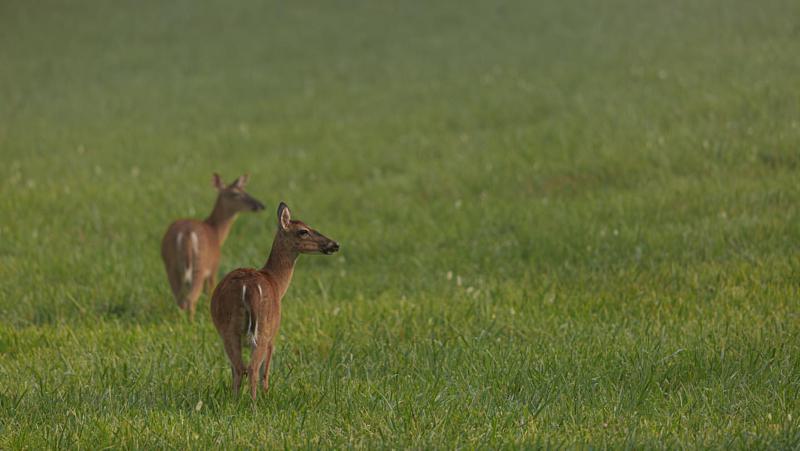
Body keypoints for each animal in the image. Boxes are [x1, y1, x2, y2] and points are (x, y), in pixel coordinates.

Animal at [160, 173, 266, 322]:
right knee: (191, 298)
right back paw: (191, 322)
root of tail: (186, 233)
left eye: (245, 190)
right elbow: (209, 292)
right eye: (235, 193)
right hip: (200, 264)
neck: (216, 232)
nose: (260, 205)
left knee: (180, 298)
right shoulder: (214, 267)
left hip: (171, 265)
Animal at [209, 203, 338, 400]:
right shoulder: (273, 335)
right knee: (252, 368)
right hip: (264, 329)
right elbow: (266, 372)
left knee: (239, 368)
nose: (334, 244)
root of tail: (249, 290)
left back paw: (235, 401)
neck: (276, 282)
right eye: (303, 231)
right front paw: (266, 395)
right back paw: (253, 403)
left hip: (228, 330)